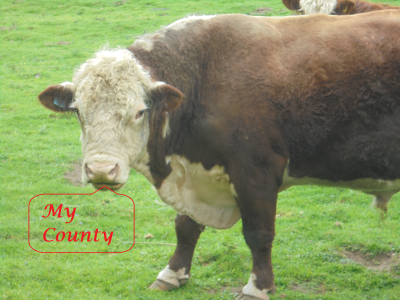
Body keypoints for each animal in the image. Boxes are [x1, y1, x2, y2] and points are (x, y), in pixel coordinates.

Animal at [38, 11, 400, 300]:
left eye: (140, 111)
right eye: (77, 111)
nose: (101, 169)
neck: (203, 79)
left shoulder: (256, 173)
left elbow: (258, 234)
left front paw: (257, 287)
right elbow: (185, 226)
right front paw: (172, 274)